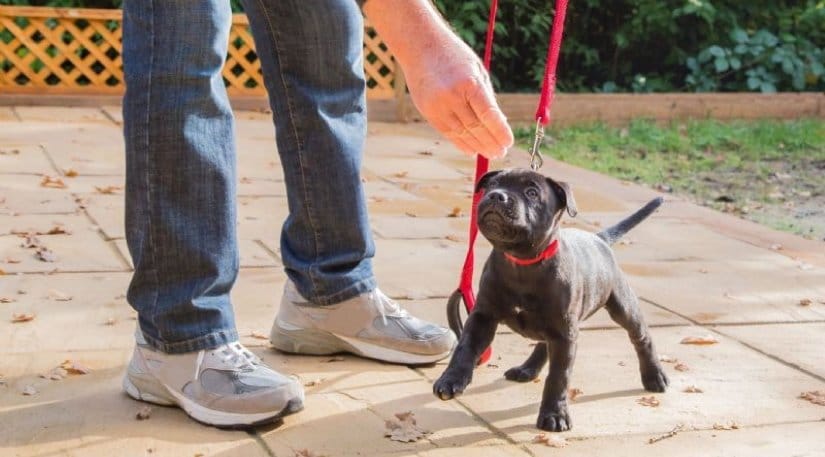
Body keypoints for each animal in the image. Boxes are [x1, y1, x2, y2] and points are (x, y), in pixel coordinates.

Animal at [434, 168, 668, 432]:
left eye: (532, 192)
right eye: (492, 184)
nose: (496, 195)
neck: (522, 262)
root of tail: (599, 239)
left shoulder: (565, 333)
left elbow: (559, 376)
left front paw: (554, 414)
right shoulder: (483, 317)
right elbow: (465, 347)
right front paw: (451, 379)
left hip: (622, 305)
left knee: (641, 337)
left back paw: (654, 376)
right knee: (543, 343)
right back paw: (527, 368)